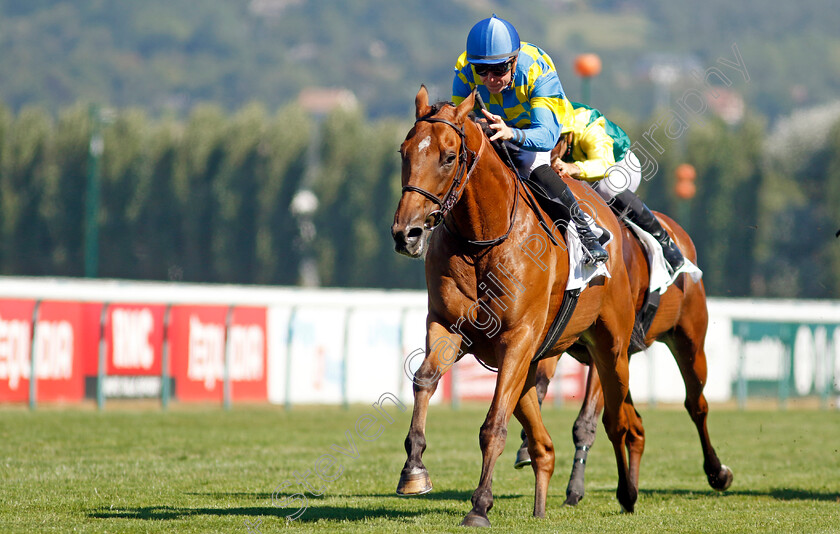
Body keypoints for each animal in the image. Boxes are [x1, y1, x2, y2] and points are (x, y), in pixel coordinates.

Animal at [388, 86, 644, 528]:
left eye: (449, 156)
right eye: (405, 151)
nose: (407, 233)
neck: (483, 238)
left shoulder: (517, 338)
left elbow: (493, 425)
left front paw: (479, 506)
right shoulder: (448, 327)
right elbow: (424, 380)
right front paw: (414, 470)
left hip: (611, 347)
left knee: (618, 420)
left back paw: (626, 492)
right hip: (536, 361)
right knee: (545, 444)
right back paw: (541, 502)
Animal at [512, 215, 736, 506]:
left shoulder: (604, 350)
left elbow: (586, 422)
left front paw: (575, 489)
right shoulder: (559, 338)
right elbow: (537, 386)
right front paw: (526, 445)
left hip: (690, 343)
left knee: (696, 405)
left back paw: (717, 472)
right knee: (637, 426)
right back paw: (632, 483)